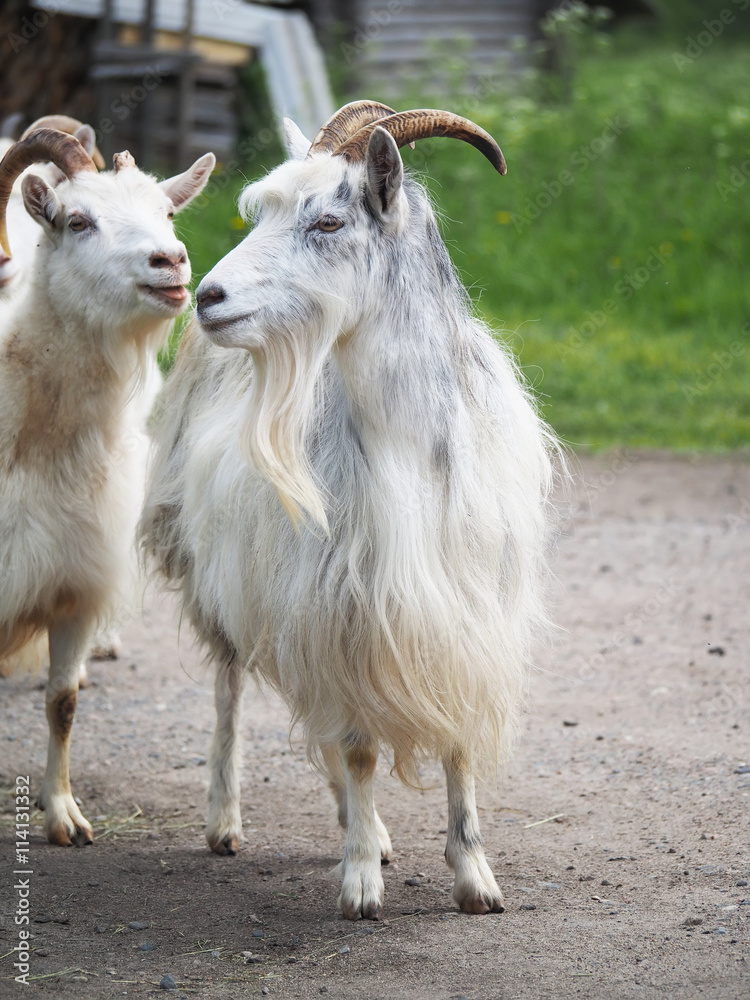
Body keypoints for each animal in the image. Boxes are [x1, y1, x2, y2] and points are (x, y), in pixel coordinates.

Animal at [0, 127, 215, 845]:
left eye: (168, 212)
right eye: (77, 221)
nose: (169, 260)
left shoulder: (74, 582)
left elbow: (62, 704)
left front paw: (62, 812)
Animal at [140, 101, 555, 918]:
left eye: (329, 221)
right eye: (260, 212)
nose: (207, 297)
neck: (406, 448)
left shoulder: (459, 615)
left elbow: (455, 742)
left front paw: (474, 877)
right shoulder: (342, 604)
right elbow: (359, 745)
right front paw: (360, 881)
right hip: (224, 578)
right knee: (232, 692)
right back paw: (226, 820)